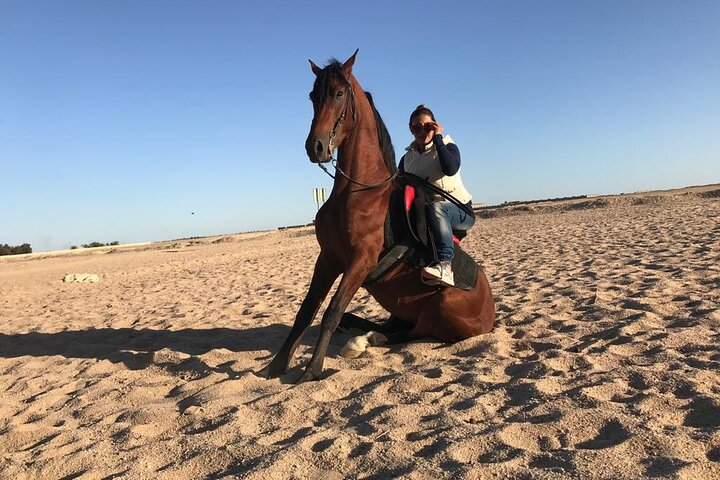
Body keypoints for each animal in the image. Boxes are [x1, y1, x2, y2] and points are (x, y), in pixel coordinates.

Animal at [263, 50, 495, 383]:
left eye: (338, 93)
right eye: (312, 95)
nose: (315, 147)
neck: (357, 191)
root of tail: (490, 315)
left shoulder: (360, 260)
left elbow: (331, 311)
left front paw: (311, 370)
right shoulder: (328, 258)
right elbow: (306, 311)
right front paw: (276, 366)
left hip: (440, 306)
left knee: (412, 333)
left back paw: (363, 342)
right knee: (385, 325)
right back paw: (361, 338)